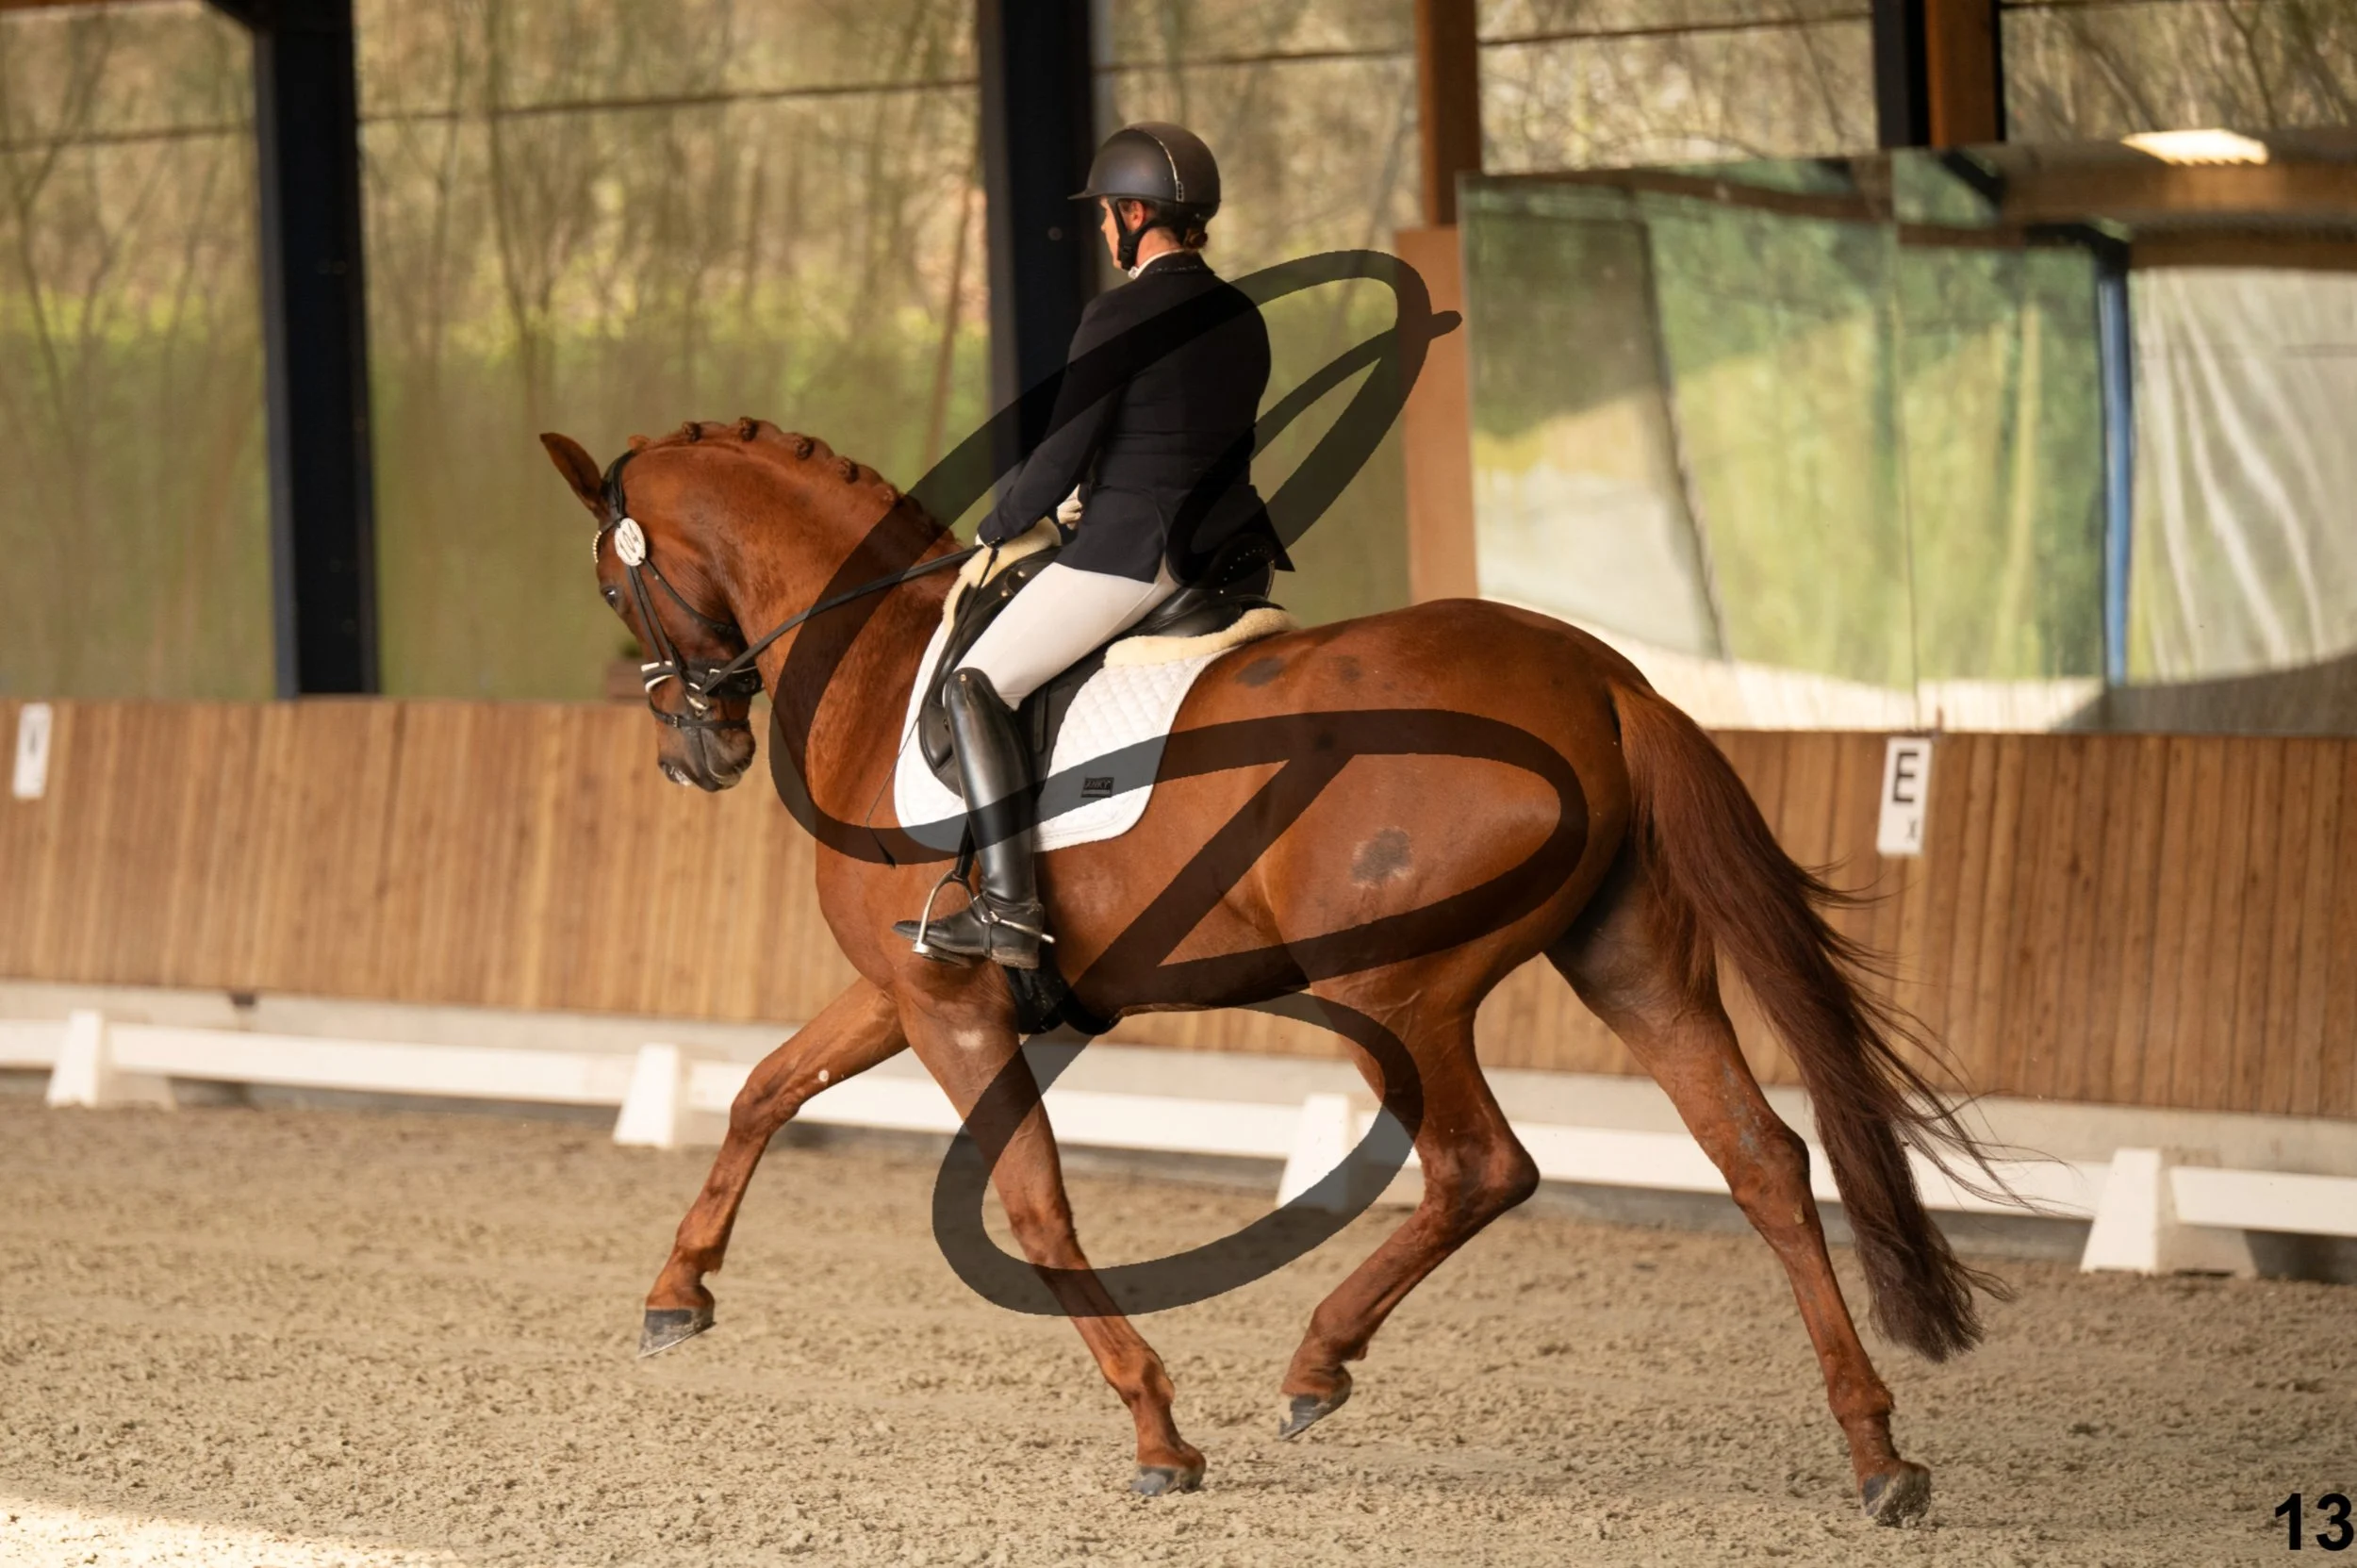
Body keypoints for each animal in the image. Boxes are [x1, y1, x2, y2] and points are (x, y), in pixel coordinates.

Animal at [538, 417, 2003, 1523]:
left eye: (613, 583)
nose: (695, 749)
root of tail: (1598, 677)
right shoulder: (904, 991)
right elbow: (764, 1090)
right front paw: (677, 1293)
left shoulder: (946, 1003)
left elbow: (1033, 1205)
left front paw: (1157, 1430)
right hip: (1630, 960)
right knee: (1761, 1158)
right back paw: (1878, 1451)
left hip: (1387, 991)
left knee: (1482, 1166)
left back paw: (1316, 1359)